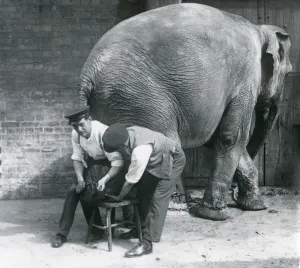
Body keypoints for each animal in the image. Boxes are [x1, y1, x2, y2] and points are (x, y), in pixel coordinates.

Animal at [76, 3, 292, 220]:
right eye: (289, 72)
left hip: (111, 104)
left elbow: (216, 138)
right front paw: (213, 214)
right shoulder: (246, 77)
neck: (259, 30)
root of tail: (88, 72)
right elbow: (232, 137)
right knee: (167, 146)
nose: (235, 191)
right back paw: (167, 207)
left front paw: (255, 206)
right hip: (139, 99)